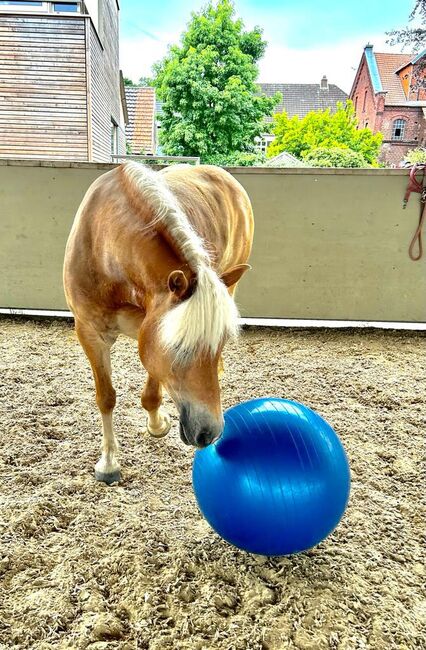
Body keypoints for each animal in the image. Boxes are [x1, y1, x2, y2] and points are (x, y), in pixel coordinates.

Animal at [63, 163, 255, 480]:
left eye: (222, 341)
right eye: (177, 347)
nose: (210, 432)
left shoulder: (151, 326)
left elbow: (153, 385)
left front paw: (156, 423)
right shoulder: (90, 332)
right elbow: (106, 397)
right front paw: (108, 461)